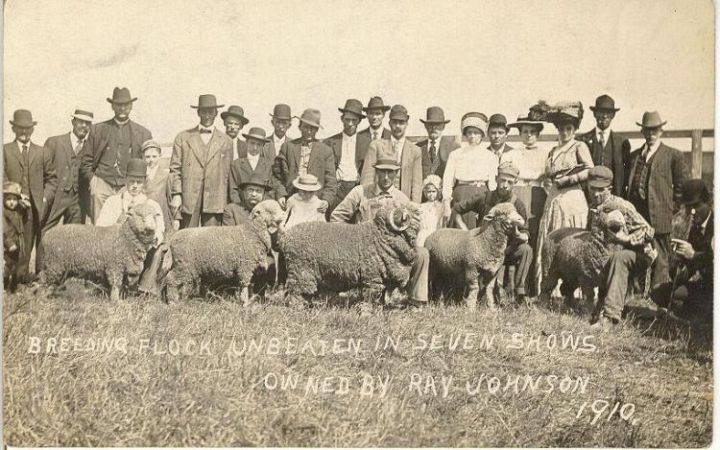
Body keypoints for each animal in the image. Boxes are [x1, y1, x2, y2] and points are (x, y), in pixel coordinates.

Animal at [278, 201, 422, 302]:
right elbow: (370, 298)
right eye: (409, 216)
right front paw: (367, 315)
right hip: (300, 270)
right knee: (295, 293)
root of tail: (286, 236)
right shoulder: (372, 276)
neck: (380, 235)